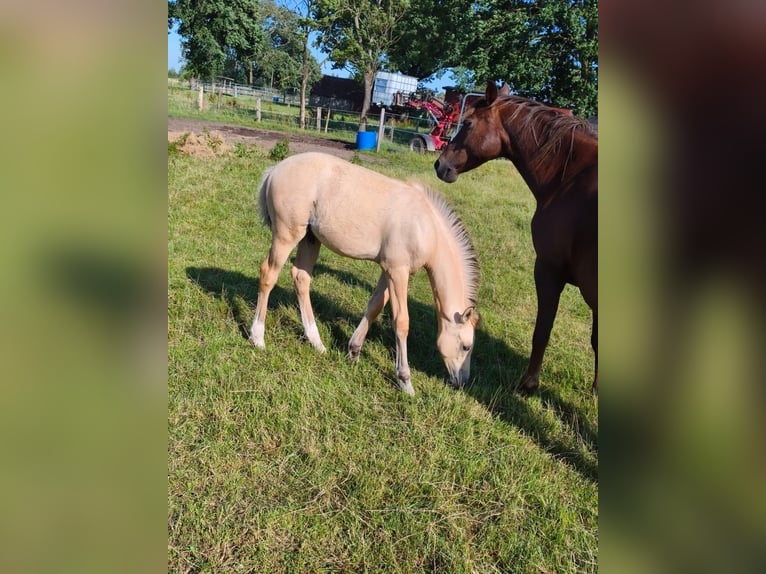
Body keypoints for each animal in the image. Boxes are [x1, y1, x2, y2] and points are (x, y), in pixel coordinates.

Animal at [250, 152, 480, 396]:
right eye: (466, 346)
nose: (462, 383)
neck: (425, 227)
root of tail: (275, 170)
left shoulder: (388, 270)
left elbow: (375, 306)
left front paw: (354, 351)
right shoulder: (398, 271)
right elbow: (401, 322)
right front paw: (405, 381)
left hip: (310, 238)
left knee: (301, 277)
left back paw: (317, 342)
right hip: (286, 235)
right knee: (268, 275)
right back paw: (257, 337)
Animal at [434, 82, 598, 393]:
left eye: (468, 123)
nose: (440, 164)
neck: (570, 178)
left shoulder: (548, 269)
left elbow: (542, 330)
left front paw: (529, 383)